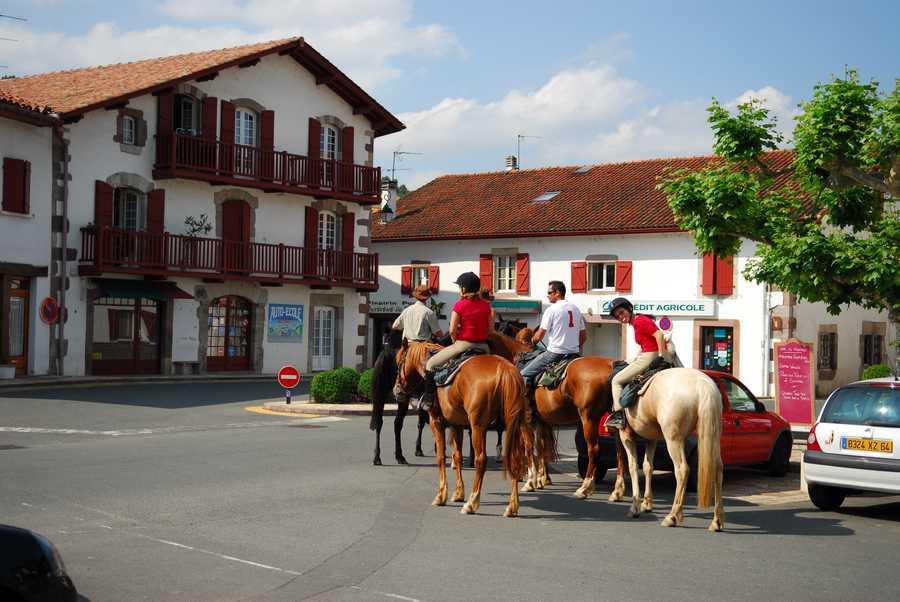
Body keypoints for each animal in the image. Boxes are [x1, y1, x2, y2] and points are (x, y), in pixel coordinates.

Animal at [374, 338, 556, 516]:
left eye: (399, 363)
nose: (396, 390)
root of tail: (506, 370)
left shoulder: (436, 421)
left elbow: (441, 456)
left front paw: (441, 495)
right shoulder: (457, 425)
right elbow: (457, 456)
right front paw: (458, 493)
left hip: (478, 426)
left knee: (481, 460)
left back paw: (472, 502)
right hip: (515, 425)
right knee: (517, 457)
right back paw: (512, 505)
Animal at [612, 366, 724, 528]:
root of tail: (703, 384)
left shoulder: (626, 436)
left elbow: (633, 466)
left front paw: (635, 507)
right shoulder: (651, 439)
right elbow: (648, 466)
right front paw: (647, 503)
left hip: (674, 440)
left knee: (682, 470)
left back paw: (673, 516)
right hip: (712, 437)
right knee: (718, 468)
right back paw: (717, 520)